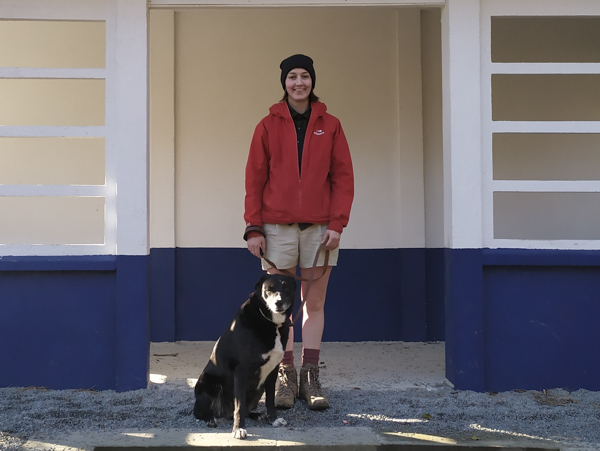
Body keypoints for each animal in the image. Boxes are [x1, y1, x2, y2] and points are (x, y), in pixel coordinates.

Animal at [192, 274, 296, 440]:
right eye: (269, 289)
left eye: (286, 288)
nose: (278, 302)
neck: (271, 323)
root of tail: (223, 412)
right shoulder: (242, 372)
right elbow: (239, 406)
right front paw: (238, 429)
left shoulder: (273, 371)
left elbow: (270, 400)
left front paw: (273, 419)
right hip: (209, 383)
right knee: (199, 412)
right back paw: (210, 419)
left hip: (258, 390)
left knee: (245, 410)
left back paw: (258, 415)